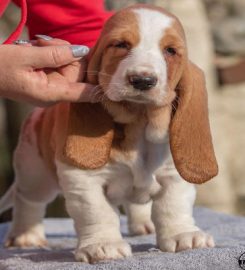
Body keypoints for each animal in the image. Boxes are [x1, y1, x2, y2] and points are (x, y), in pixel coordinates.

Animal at [0, 3, 218, 262]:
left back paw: (143, 224)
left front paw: (183, 235)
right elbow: (98, 212)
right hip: (35, 172)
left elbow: (173, 206)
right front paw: (103, 245)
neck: (138, 122)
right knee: (28, 200)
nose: (143, 80)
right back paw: (26, 236)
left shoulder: (173, 174)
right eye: (121, 44)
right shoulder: (83, 179)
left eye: (171, 51)